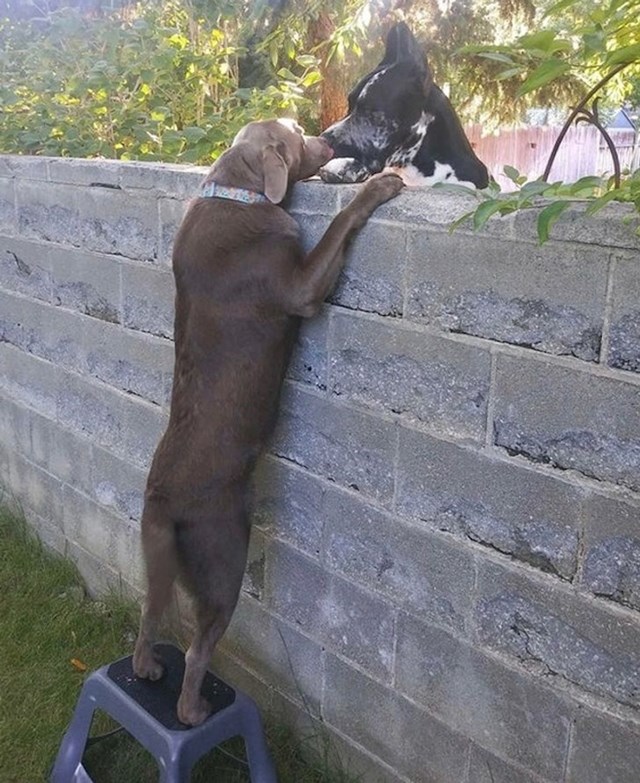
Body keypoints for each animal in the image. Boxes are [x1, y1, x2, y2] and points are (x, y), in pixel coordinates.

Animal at [132, 119, 402, 724]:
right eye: (299, 135)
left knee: (150, 615)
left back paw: (148, 668)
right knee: (198, 648)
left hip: (163, 563)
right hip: (224, 556)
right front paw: (378, 185)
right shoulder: (300, 287)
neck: (237, 190)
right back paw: (192, 712)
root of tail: (161, 499)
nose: (329, 140)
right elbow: (340, 224)